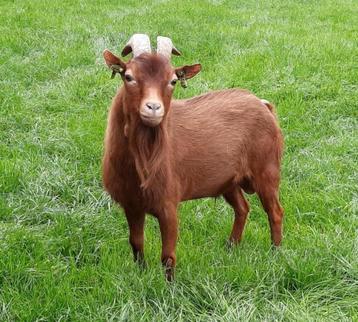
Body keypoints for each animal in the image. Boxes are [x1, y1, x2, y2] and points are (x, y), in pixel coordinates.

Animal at [102, 34, 284, 280]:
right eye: (128, 77)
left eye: (173, 81)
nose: (153, 108)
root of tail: (263, 104)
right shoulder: (131, 204)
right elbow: (136, 243)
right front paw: (141, 275)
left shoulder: (168, 203)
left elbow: (168, 256)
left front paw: (169, 287)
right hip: (228, 181)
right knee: (243, 208)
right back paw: (231, 247)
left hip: (267, 169)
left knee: (275, 212)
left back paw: (276, 253)